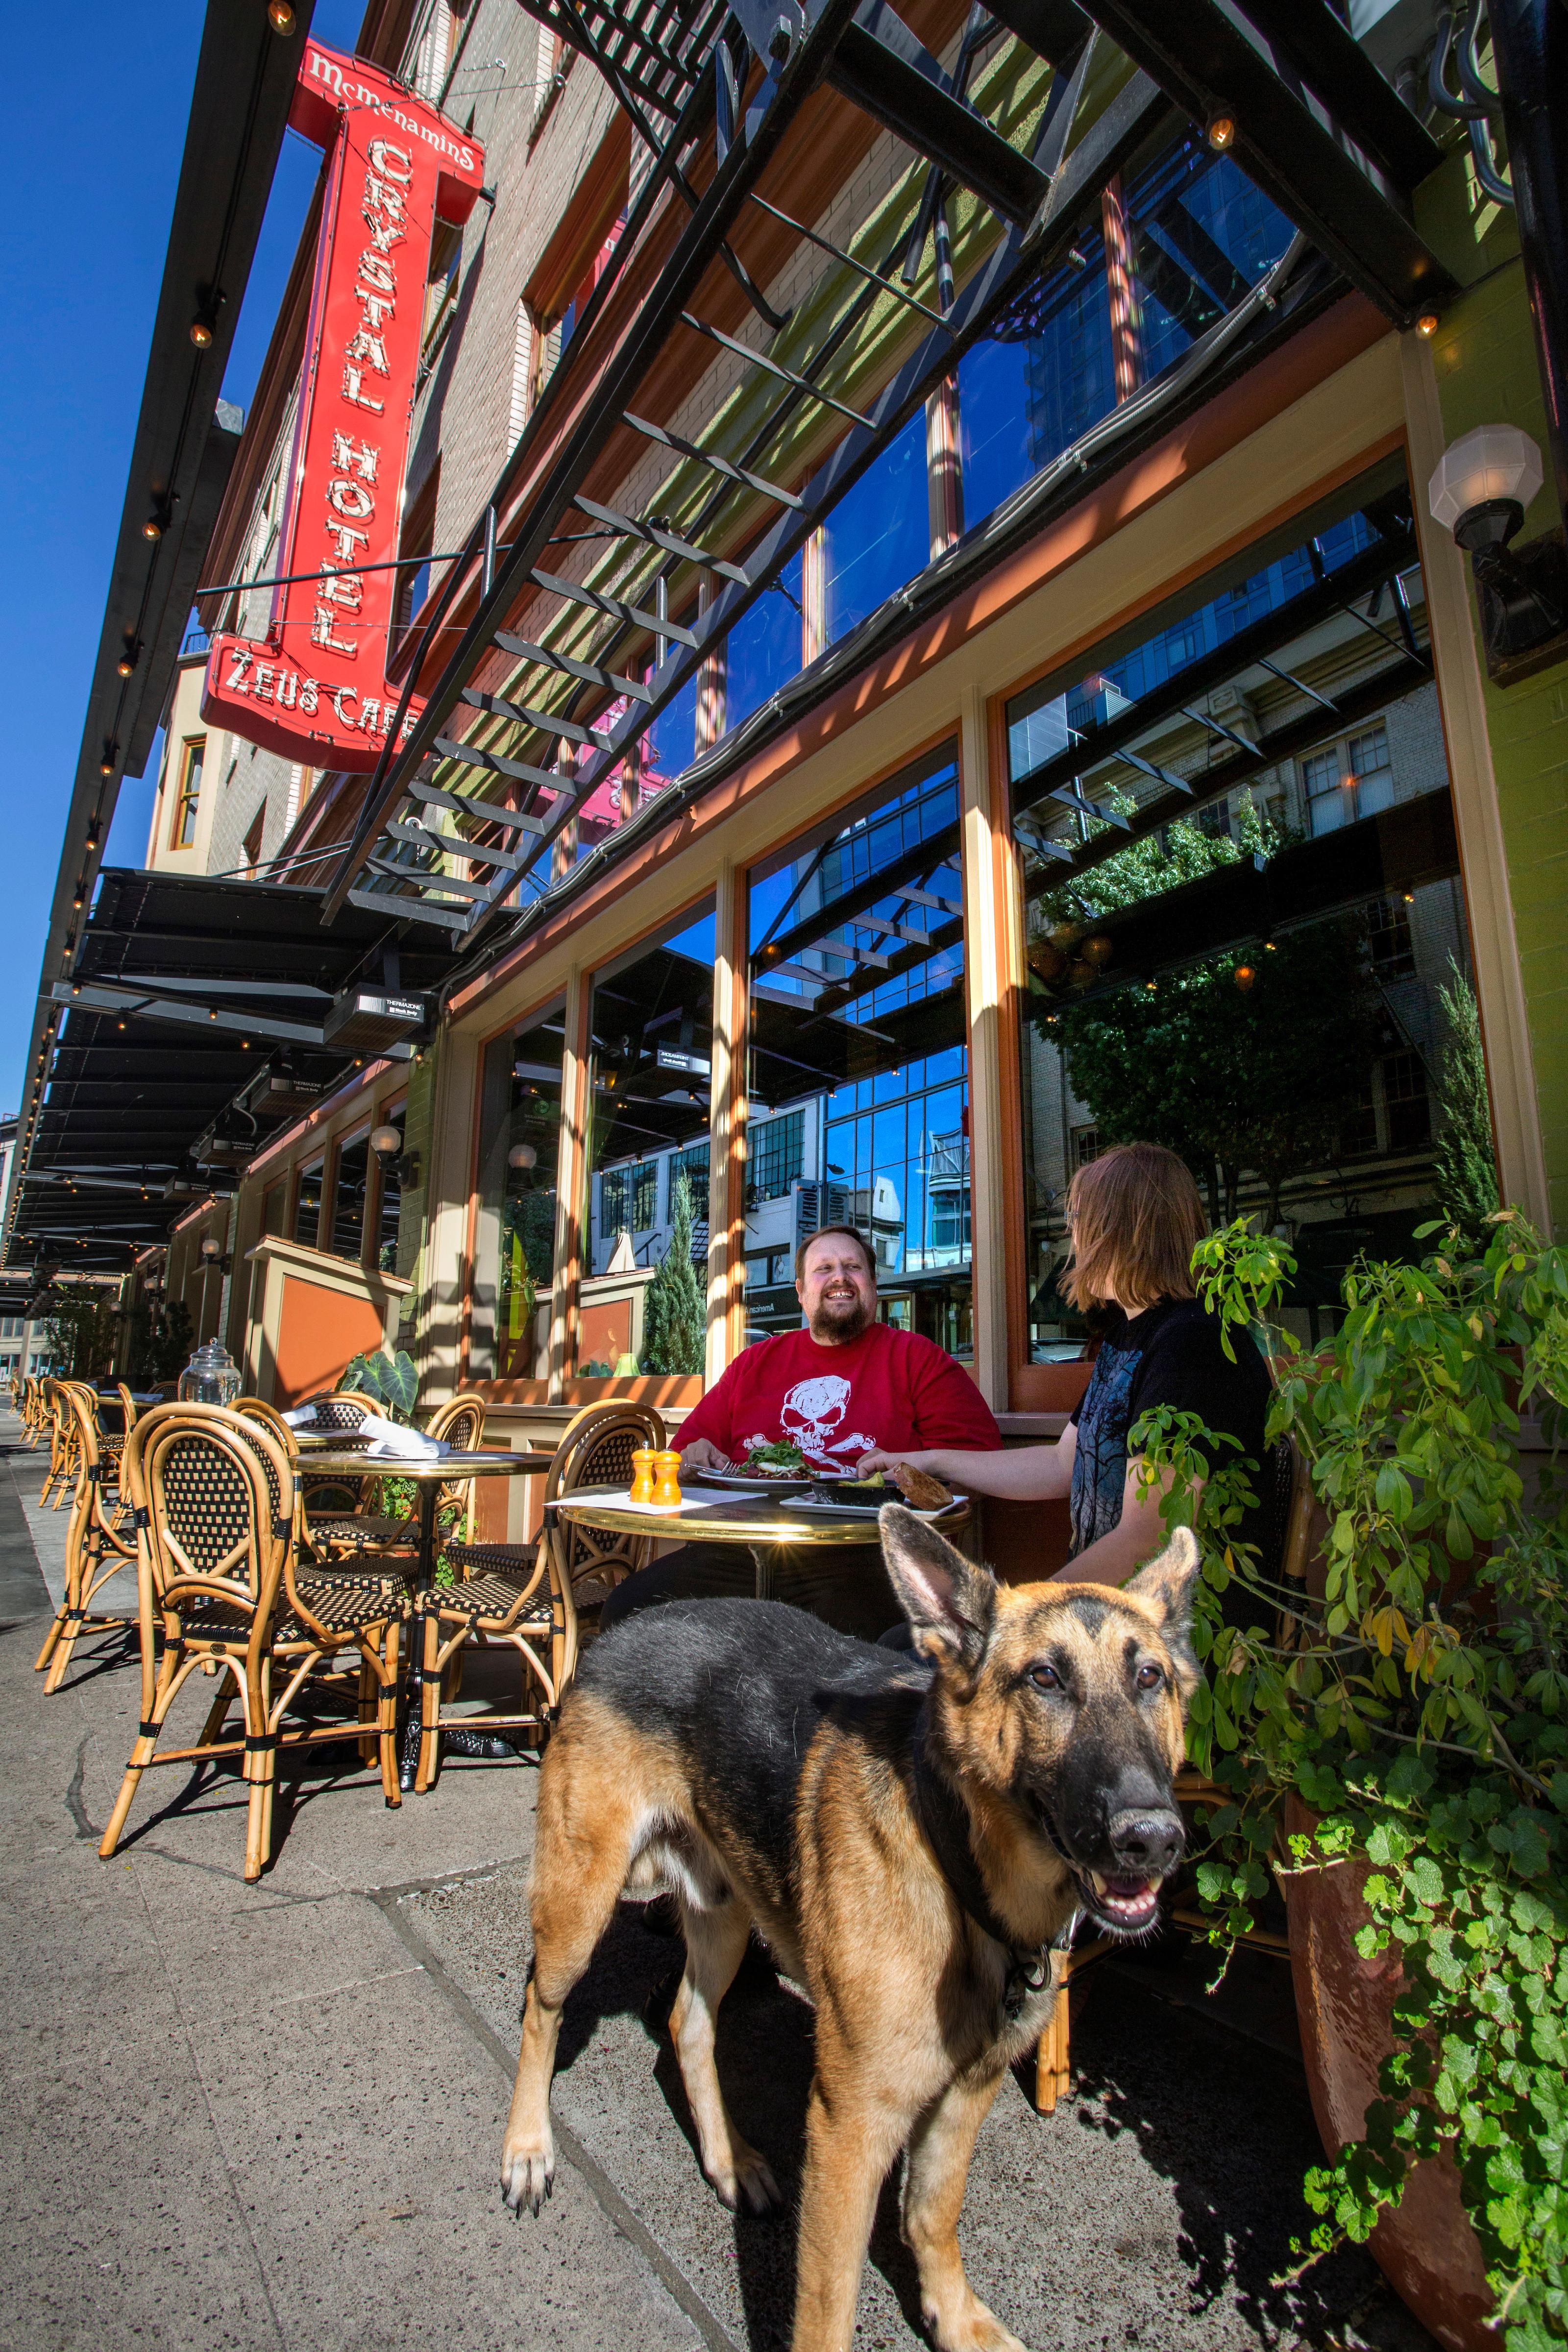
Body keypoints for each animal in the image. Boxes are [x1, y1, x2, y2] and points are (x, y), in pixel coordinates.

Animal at [503, 1505, 1203, 2352]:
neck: (956, 1858)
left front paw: (954, 2315)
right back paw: (527, 2150)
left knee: (687, 2024)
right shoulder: (849, 2126)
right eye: (1045, 1678)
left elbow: (932, 2214)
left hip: (727, 1913)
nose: (1153, 1839)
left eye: (1150, 1679)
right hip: (579, 1904)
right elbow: (828, 2303)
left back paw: (729, 2159)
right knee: (541, 2007)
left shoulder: (963, 2095)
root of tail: (624, 1626)